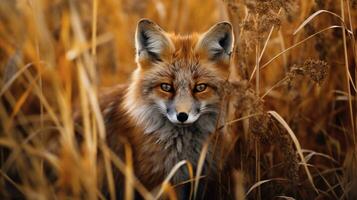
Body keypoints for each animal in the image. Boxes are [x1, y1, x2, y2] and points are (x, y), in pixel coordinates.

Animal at [82, 19, 235, 200]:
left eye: (200, 87)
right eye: (166, 87)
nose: (182, 116)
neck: (183, 154)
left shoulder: (202, 177)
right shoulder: (156, 182)